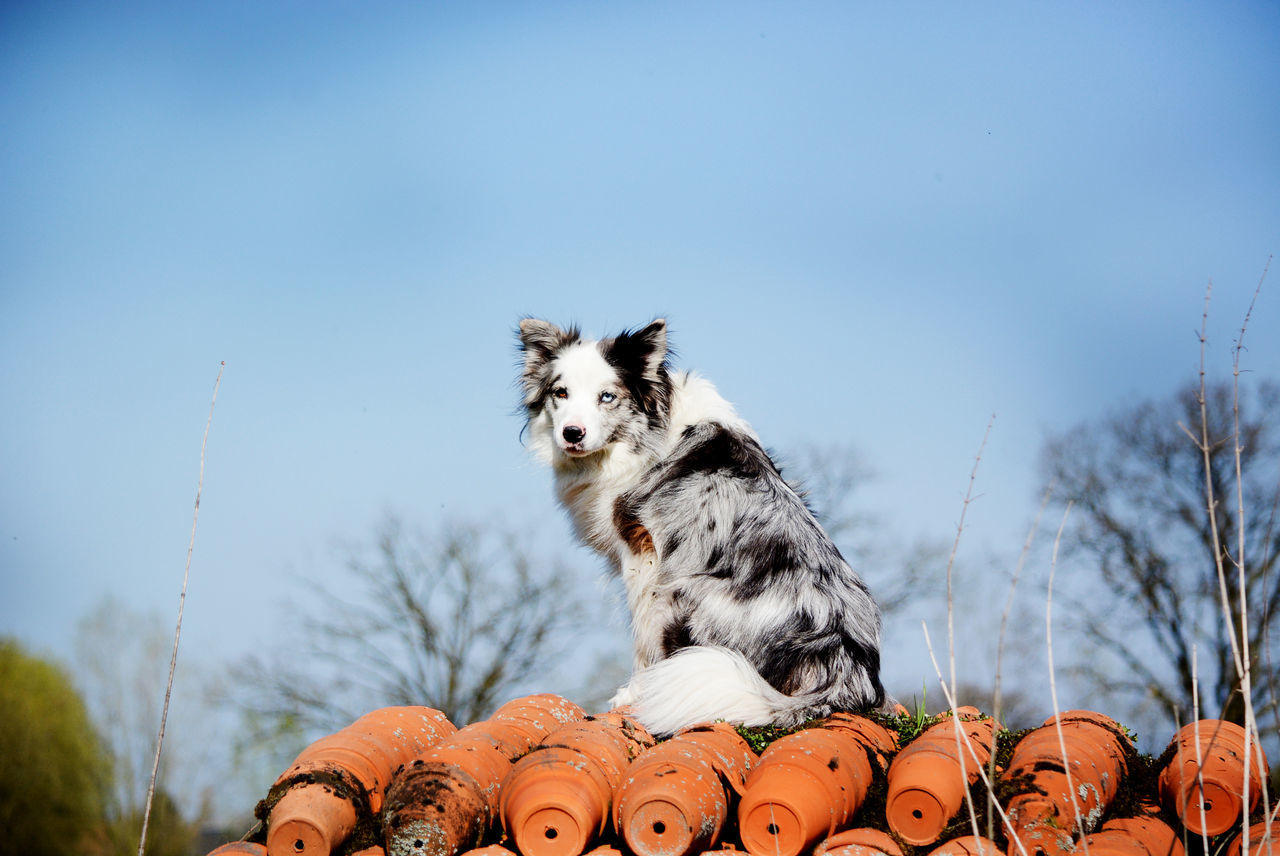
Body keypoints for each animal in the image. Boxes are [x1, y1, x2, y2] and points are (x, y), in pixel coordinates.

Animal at [514, 317, 885, 731]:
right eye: (560, 393)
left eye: (607, 397)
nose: (572, 433)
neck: (649, 434)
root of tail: (847, 673)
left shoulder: (644, 556)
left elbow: (642, 634)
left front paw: (634, 692)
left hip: (687, 590)